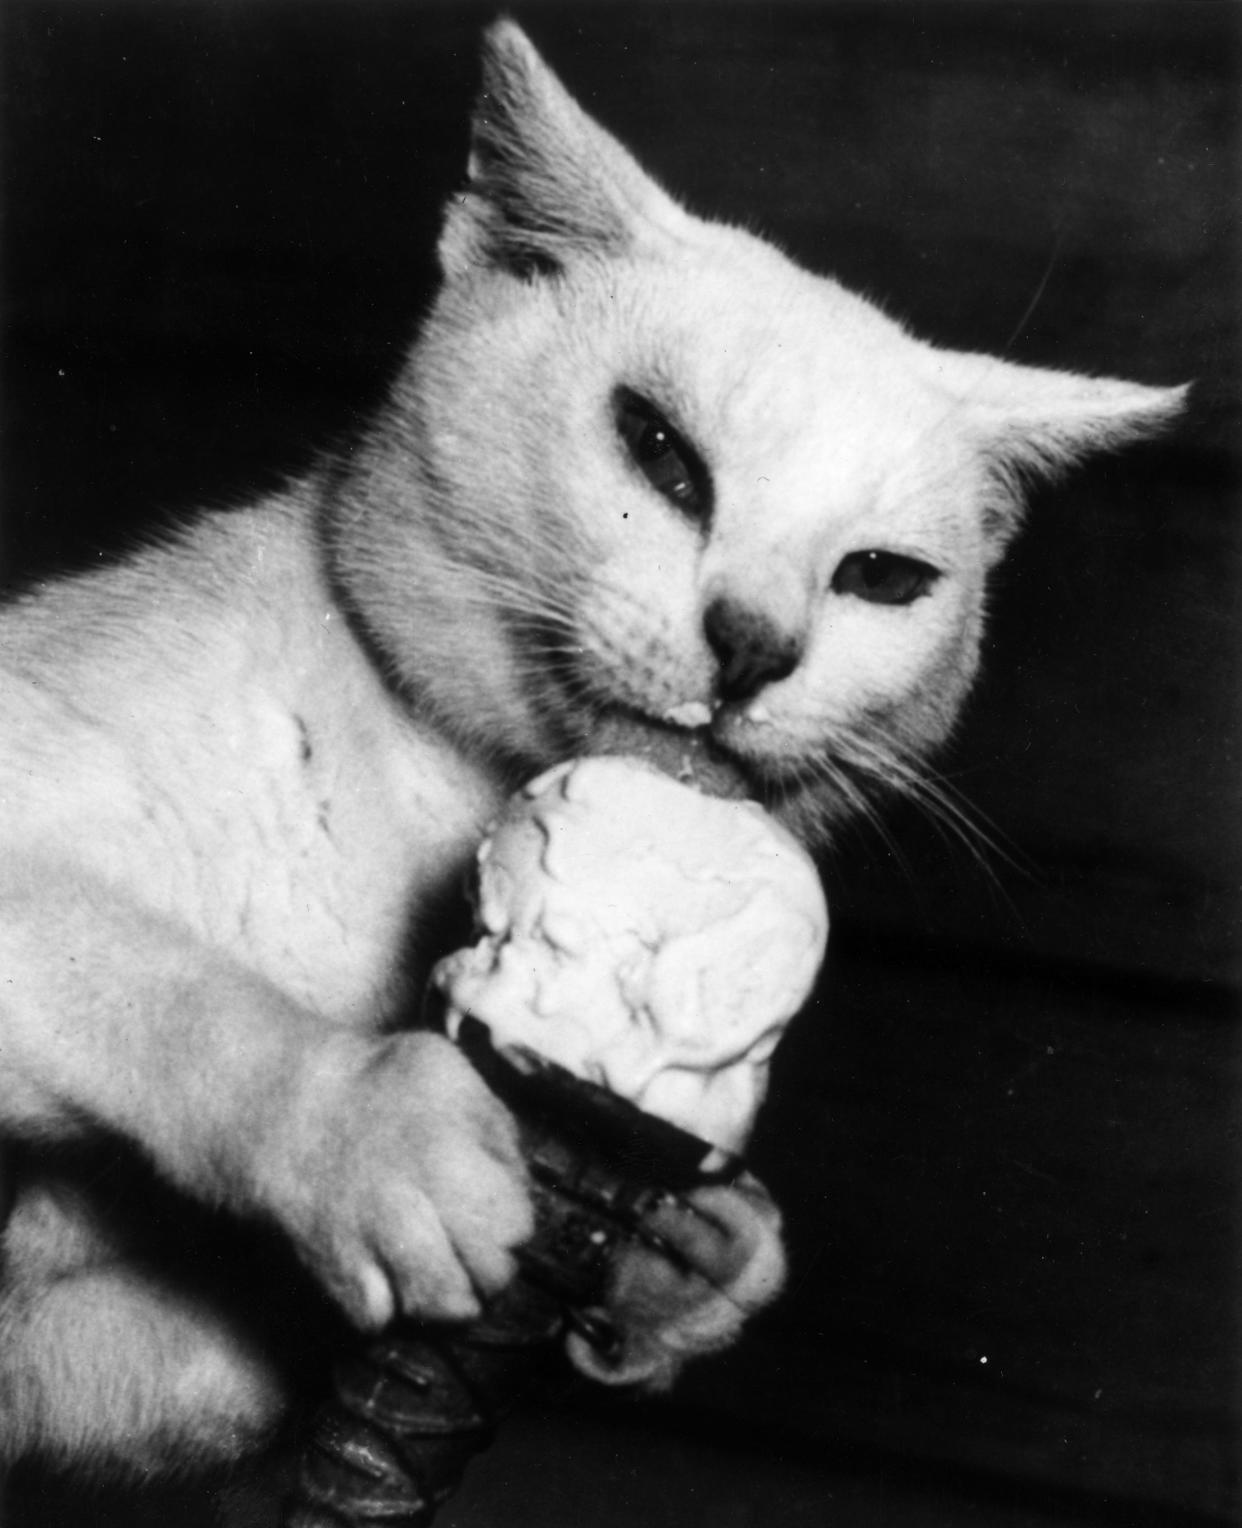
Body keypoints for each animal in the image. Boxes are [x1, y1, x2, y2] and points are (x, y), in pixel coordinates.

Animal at [0, 17, 1179, 1479]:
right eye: (660, 452)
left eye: (883, 579)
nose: (753, 646)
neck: (431, 802)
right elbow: (172, 994)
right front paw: (365, 1127)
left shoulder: (156, 1368)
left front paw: (687, 1263)